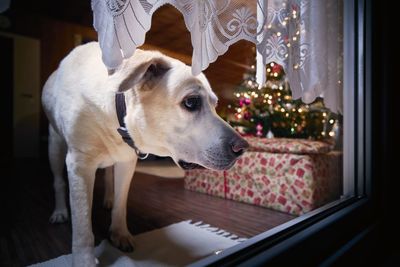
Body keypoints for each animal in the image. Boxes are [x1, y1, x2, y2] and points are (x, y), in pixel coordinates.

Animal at [40, 42, 247, 266]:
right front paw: (83, 259)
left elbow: (121, 203)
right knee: (58, 182)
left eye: (215, 105)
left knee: (108, 177)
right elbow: (82, 223)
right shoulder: (79, 165)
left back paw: (108, 199)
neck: (117, 116)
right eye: (191, 102)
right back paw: (60, 211)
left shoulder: (126, 163)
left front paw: (119, 233)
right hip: (55, 144)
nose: (243, 148)